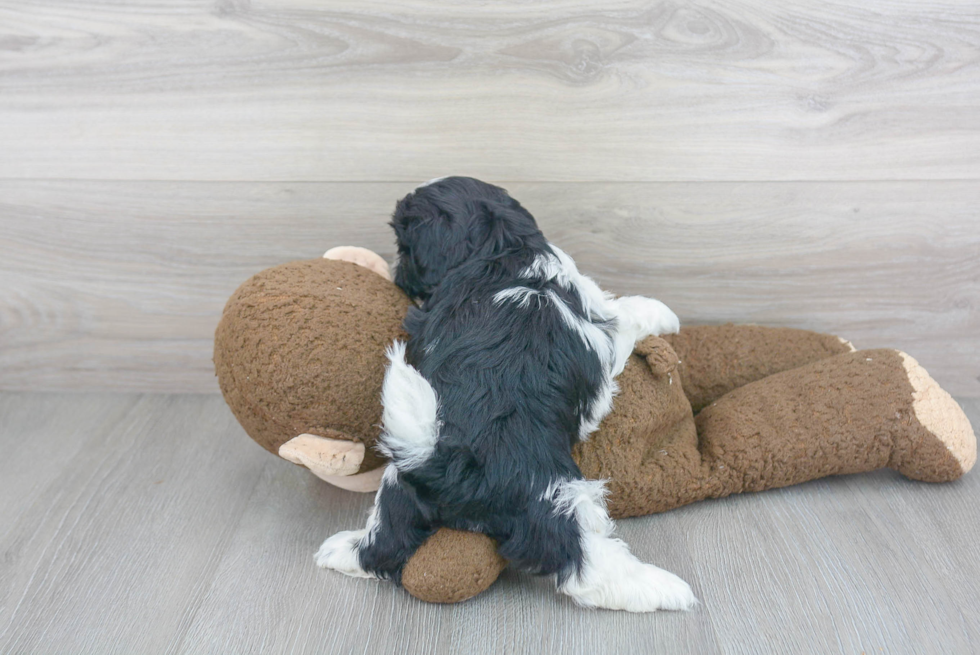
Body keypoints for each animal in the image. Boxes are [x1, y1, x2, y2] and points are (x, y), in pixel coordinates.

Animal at [316, 177, 696, 612]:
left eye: (404, 245)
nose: (399, 276)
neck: (502, 248)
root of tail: (456, 469)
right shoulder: (604, 321)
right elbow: (630, 311)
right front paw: (663, 313)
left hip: (400, 487)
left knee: (386, 543)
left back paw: (341, 551)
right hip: (557, 497)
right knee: (585, 564)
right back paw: (662, 588)